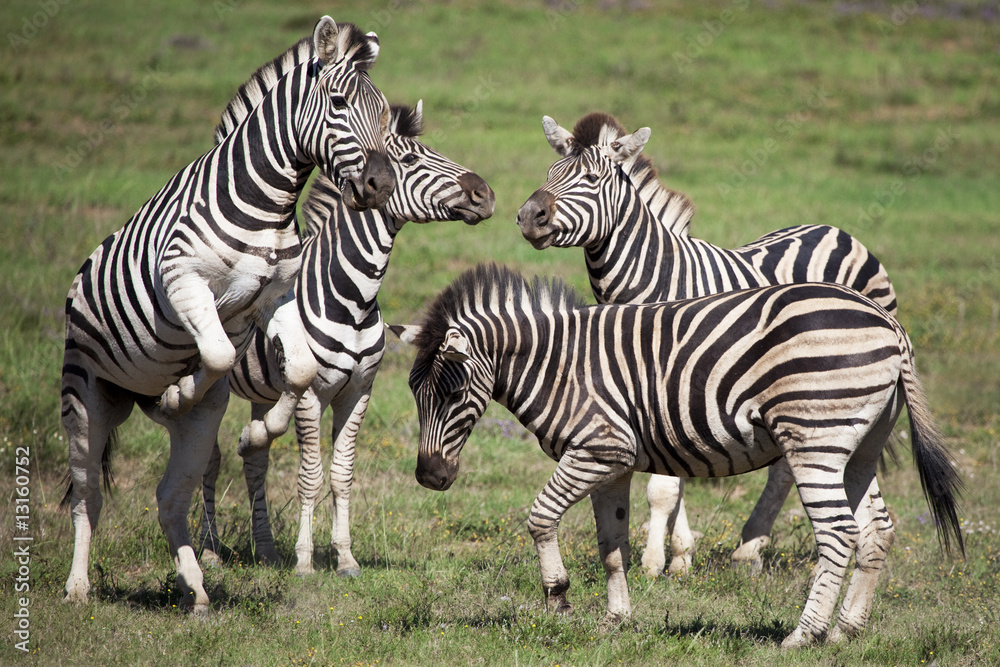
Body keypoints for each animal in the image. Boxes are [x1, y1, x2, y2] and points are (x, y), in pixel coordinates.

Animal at [60, 17, 395, 613]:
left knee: (171, 496)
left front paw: (259, 429)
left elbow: (299, 371)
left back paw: (195, 588)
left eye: (381, 113)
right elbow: (216, 351)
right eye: (338, 103)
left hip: (191, 427)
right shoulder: (183, 279)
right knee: (87, 494)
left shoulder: (276, 298)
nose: (380, 186)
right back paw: (78, 588)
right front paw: (178, 391)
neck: (267, 203)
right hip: (85, 395)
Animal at [200, 101, 495, 574]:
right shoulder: (309, 396)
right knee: (209, 460)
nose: (484, 194)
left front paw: (345, 557)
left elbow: (341, 474)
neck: (353, 299)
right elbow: (311, 476)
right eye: (409, 159)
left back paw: (264, 549)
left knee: (255, 459)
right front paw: (304, 562)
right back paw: (209, 551)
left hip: (264, 393)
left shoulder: (358, 392)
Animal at [393, 263, 962, 648]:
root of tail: (889, 324)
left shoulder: (597, 447)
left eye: (452, 392)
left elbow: (539, 518)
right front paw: (616, 621)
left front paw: (557, 601)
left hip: (815, 439)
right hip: (860, 447)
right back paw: (846, 630)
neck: (558, 366)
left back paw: (803, 635)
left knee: (839, 533)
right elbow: (612, 545)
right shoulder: (612, 462)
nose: (429, 477)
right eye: (414, 392)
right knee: (877, 532)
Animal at [516, 111, 898, 576]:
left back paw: (750, 549)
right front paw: (680, 556)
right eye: (550, 173)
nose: (528, 216)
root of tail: (835, 230)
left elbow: (663, 487)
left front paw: (653, 563)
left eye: (590, 178)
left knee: (789, 469)